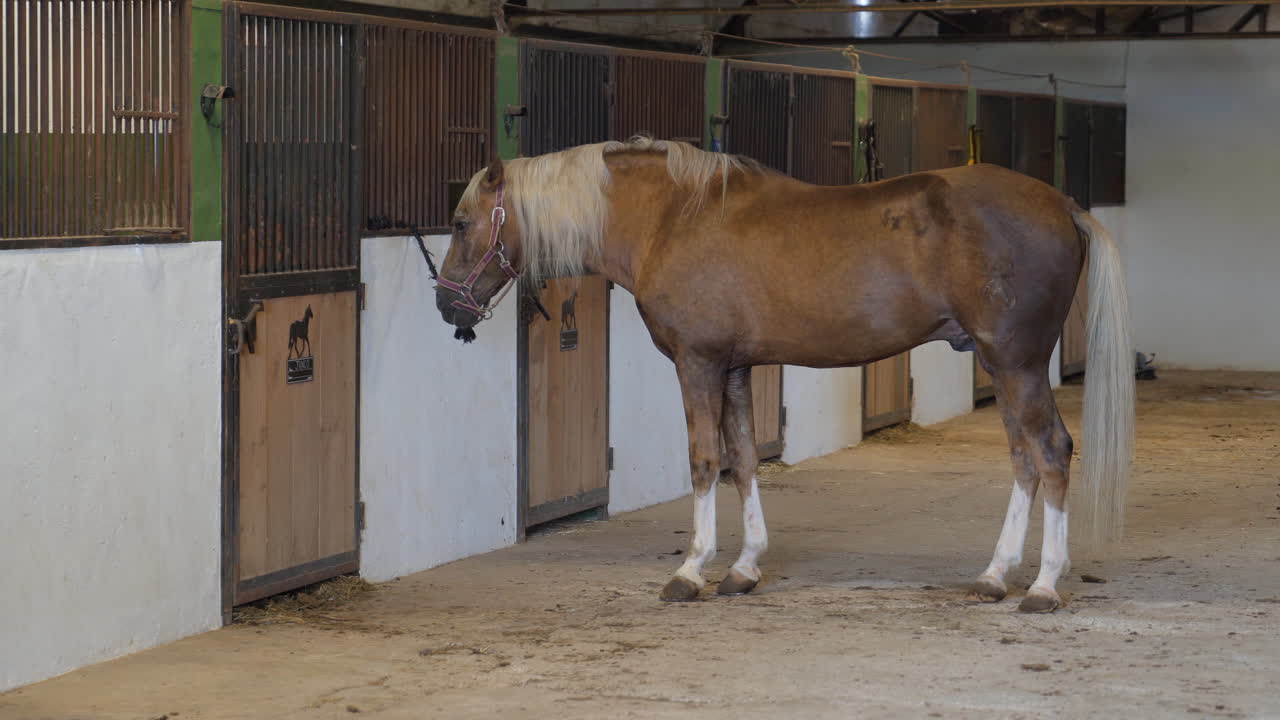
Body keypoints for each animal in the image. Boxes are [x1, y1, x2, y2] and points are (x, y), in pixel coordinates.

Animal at [435, 137, 1134, 613]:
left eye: (463, 223)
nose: (447, 306)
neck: (672, 217)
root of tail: (1062, 203)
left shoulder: (698, 362)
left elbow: (703, 459)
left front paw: (690, 572)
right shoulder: (736, 368)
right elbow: (743, 459)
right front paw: (743, 569)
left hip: (1017, 362)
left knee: (1050, 452)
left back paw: (1042, 586)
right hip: (1005, 365)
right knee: (1023, 457)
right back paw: (994, 576)